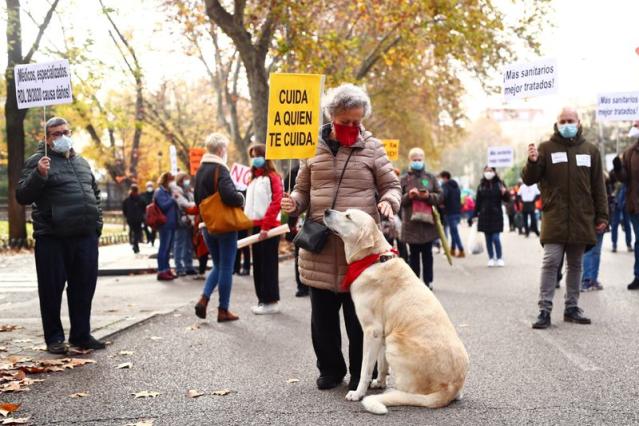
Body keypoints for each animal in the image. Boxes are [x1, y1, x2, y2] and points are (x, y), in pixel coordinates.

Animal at [324, 208, 470, 414]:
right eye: (345, 211)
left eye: (348, 217)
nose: (326, 210)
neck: (373, 260)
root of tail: (449, 390)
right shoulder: (382, 333)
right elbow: (381, 364)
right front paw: (379, 381)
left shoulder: (372, 332)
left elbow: (365, 368)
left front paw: (358, 393)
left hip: (395, 340)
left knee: (409, 393)